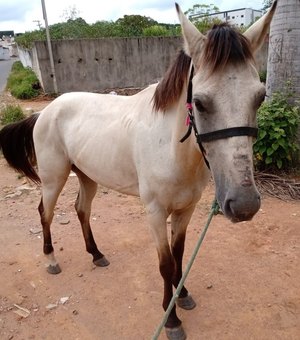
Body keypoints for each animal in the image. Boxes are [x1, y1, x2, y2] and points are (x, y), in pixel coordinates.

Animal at [0, 2, 276, 340]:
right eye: (199, 102)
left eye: (260, 97)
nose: (244, 204)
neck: (170, 148)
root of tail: (45, 111)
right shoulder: (155, 212)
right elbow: (165, 263)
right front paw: (171, 320)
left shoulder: (185, 210)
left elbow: (179, 256)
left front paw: (182, 296)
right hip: (54, 178)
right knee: (45, 213)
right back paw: (51, 259)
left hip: (88, 176)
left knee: (81, 209)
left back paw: (96, 254)